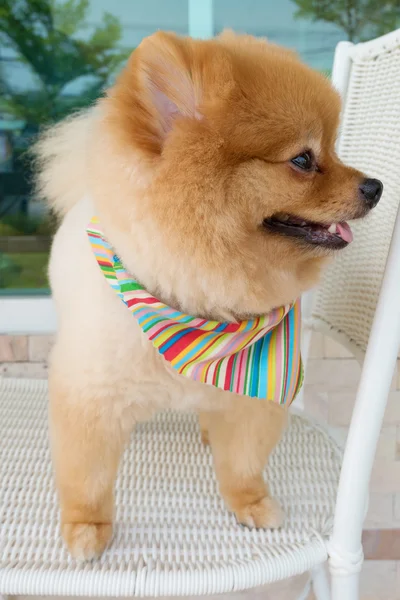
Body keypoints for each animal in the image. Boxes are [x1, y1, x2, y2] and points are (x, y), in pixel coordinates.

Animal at [36, 30, 382, 560]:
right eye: (303, 160)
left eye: (335, 149)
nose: (376, 186)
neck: (200, 305)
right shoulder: (89, 395)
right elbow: (87, 476)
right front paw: (87, 527)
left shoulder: (253, 398)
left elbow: (242, 463)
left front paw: (250, 503)